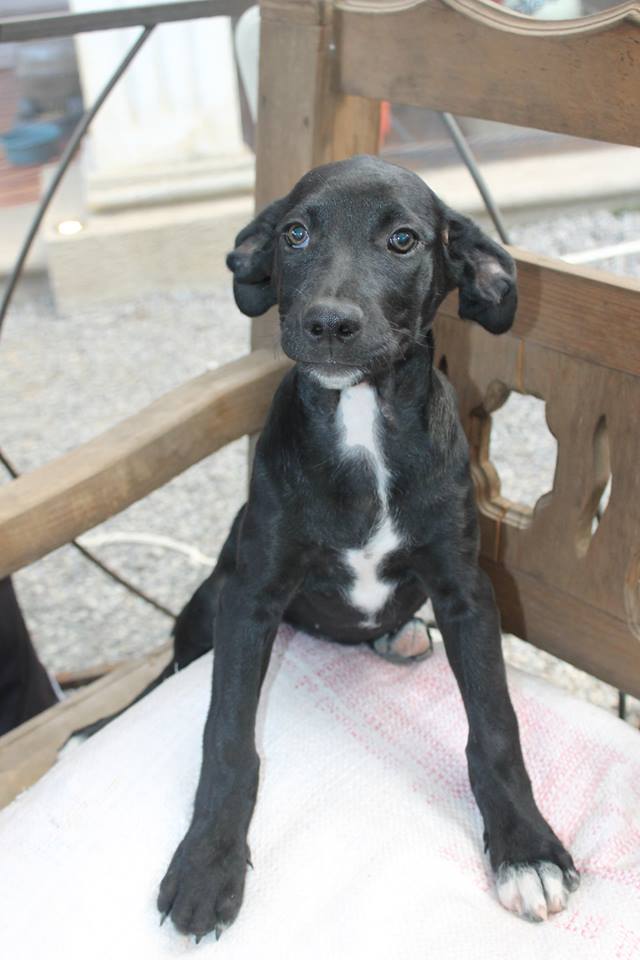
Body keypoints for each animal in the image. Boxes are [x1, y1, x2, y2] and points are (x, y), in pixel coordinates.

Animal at [157, 155, 579, 940]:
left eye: (404, 240)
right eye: (294, 233)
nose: (327, 322)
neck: (359, 422)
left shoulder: (466, 591)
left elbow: (496, 728)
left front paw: (526, 851)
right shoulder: (251, 598)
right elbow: (227, 738)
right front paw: (206, 865)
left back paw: (399, 636)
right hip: (206, 607)